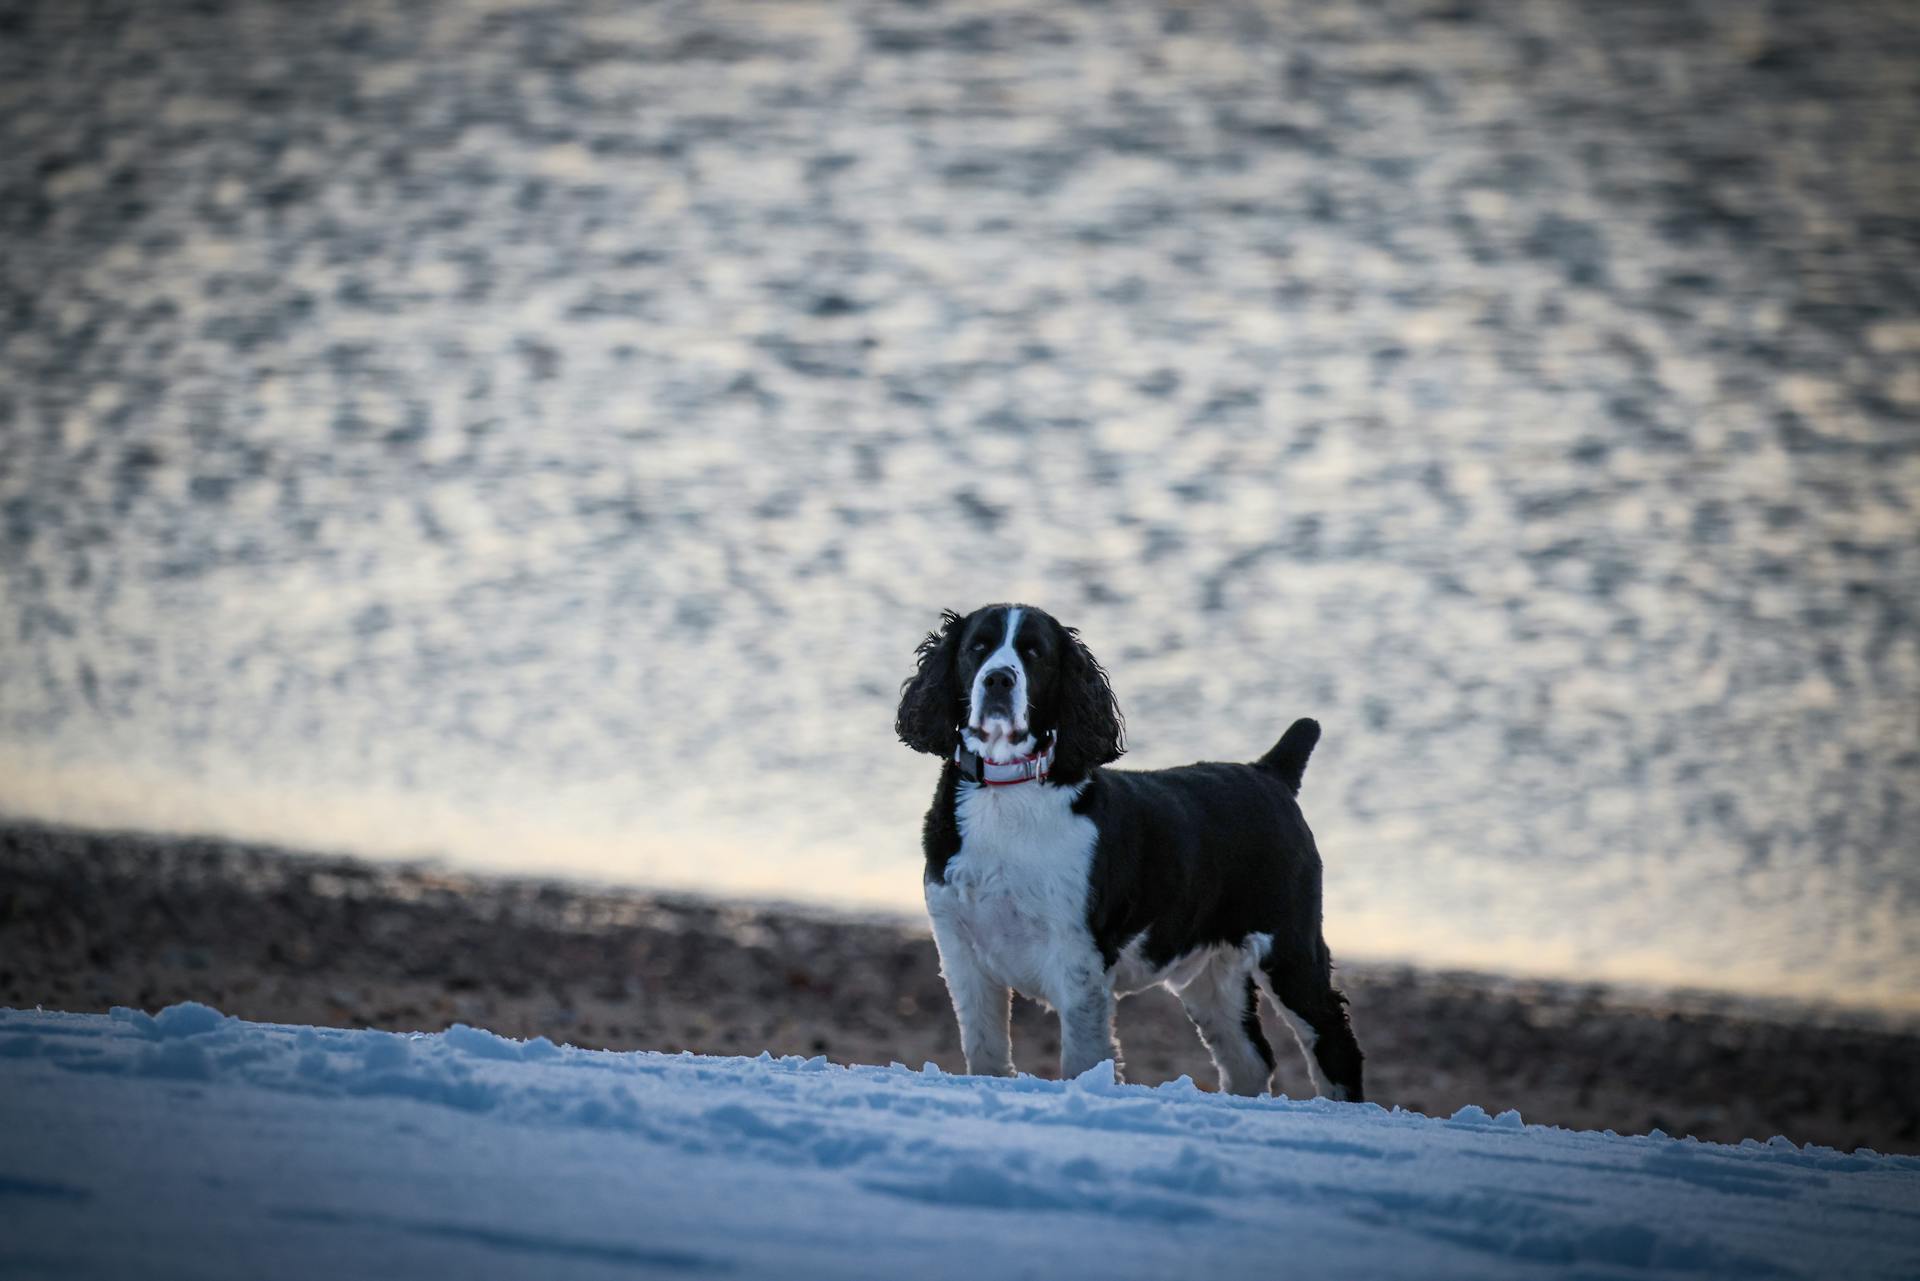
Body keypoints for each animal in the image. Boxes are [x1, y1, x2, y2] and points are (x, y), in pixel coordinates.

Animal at [894, 603, 1367, 1106]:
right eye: (977, 647)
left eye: (1035, 652)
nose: (999, 679)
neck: (1007, 793)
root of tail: (1270, 771)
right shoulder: (961, 948)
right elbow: (984, 1049)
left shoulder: (1078, 959)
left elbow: (1084, 1058)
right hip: (1210, 975)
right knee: (1250, 1059)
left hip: (1290, 944)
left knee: (1332, 1039)